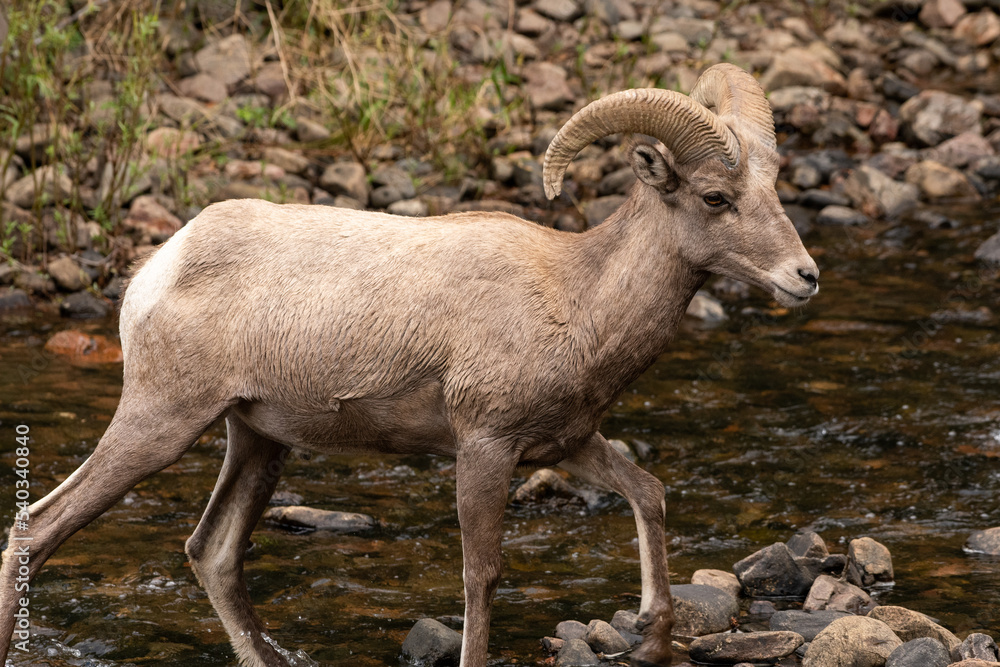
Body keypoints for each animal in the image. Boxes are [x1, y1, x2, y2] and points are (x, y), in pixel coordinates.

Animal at [0, 64, 816, 667]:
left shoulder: (569, 442)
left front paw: (652, 632)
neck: (575, 294)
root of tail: (158, 268)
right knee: (37, 529)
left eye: (773, 190)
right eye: (715, 196)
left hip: (256, 440)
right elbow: (481, 573)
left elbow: (649, 492)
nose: (804, 277)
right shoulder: (484, 449)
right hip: (162, 424)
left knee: (214, 554)